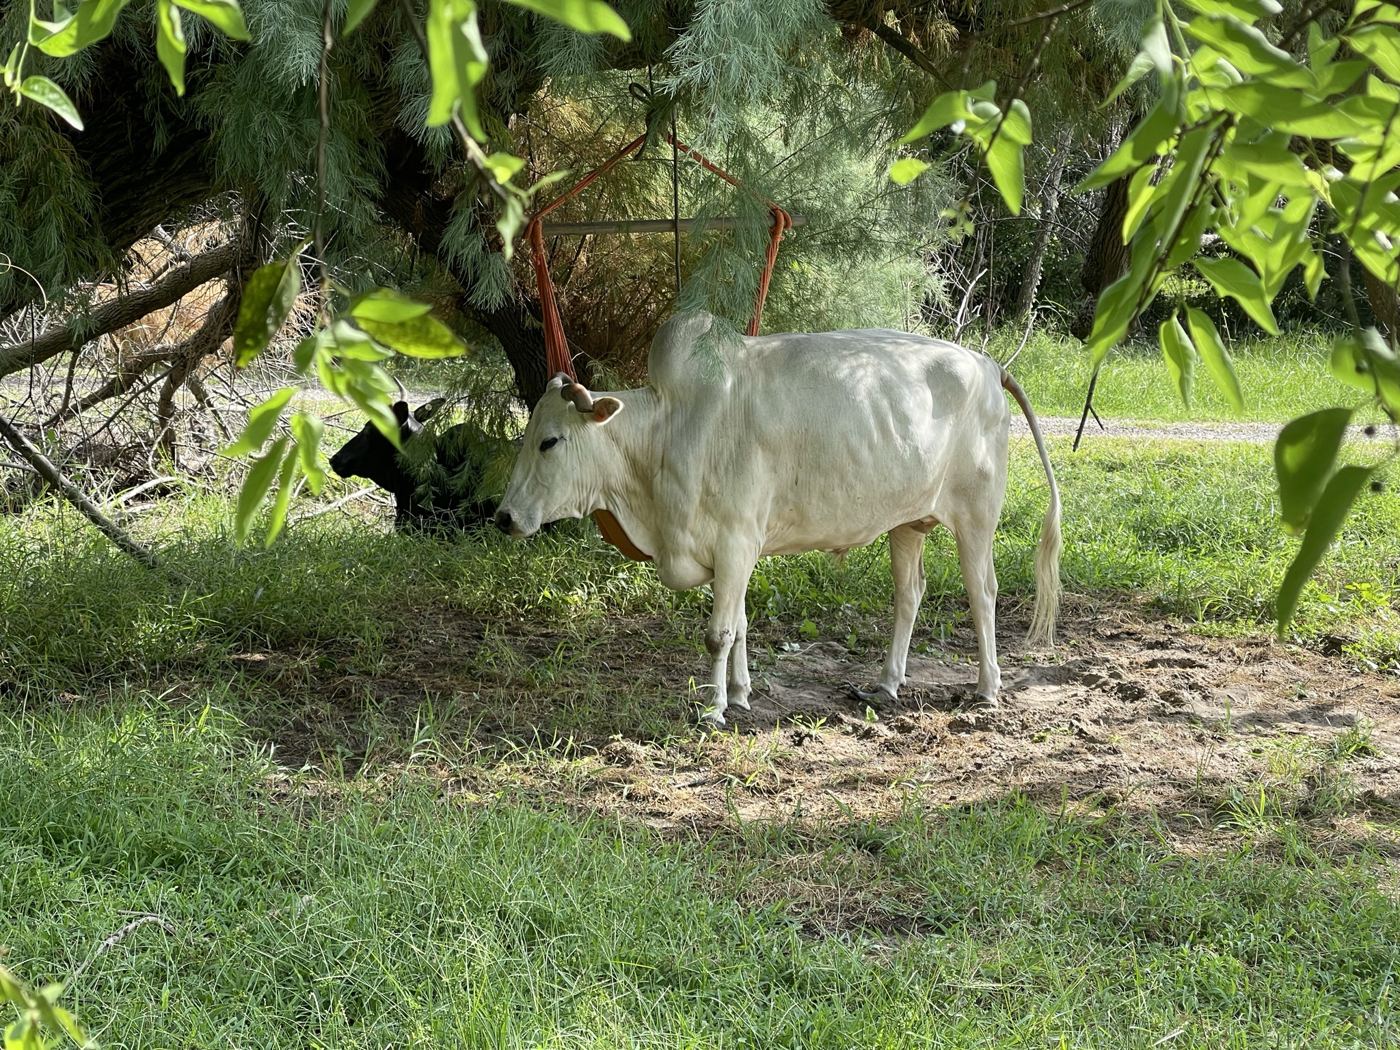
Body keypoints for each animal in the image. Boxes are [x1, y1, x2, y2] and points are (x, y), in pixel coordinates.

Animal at [494, 310, 1062, 726]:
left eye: (550, 441)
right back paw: (886, 683)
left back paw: (987, 688)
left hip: (976, 518)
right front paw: (740, 694)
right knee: (909, 594)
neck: (668, 430)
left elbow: (719, 632)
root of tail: (986, 364)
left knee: (982, 592)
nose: (504, 517)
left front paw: (714, 709)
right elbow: (741, 623)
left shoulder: (735, 540)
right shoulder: (735, 551)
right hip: (907, 522)